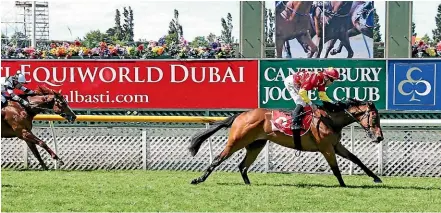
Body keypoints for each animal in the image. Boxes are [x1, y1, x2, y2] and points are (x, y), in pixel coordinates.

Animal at [188, 99, 382, 187]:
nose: (379, 137)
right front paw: (343, 185)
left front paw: (376, 177)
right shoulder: (326, 147)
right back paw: (198, 179)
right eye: (374, 118)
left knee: (242, 166)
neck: (329, 119)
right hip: (236, 142)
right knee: (218, 159)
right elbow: (335, 167)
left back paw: (248, 184)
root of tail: (241, 115)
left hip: (257, 144)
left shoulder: (336, 146)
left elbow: (356, 159)